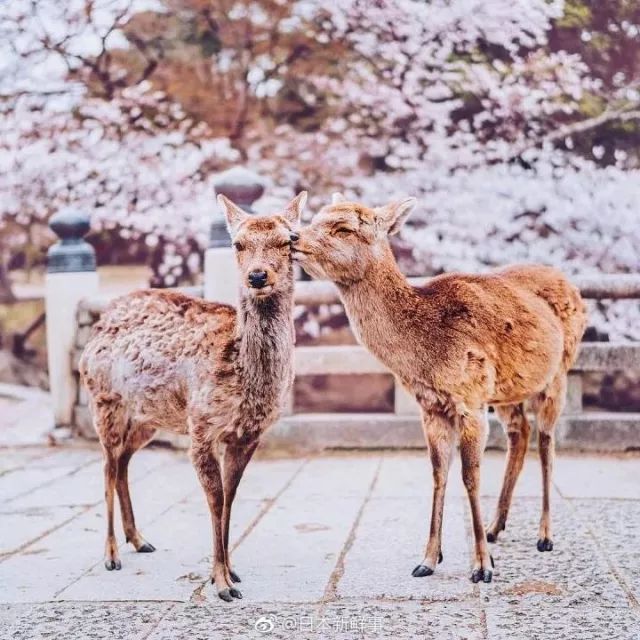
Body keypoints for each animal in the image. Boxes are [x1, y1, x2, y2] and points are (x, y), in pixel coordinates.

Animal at [79, 191, 306, 600]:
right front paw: (221, 583)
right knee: (106, 466)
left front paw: (233, 571)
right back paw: (111, 554)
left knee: (122, 463)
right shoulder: (202, 426)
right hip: (103, 402)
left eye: (289, 240)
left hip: (147, 418)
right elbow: (215, 500)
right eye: (237, 243)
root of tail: (101, 321)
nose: (257, 275)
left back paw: (140, 540)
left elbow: (231, 496)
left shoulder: (249, 434)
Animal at [292, 195, 588, 584]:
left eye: (344, 228)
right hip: (507, 390)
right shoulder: (431, 405)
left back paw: (545, 536)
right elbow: (437, 472)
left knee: (547, 442)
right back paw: (495, 527)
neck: (425, 354)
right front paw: (429, 559)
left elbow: (469, 475)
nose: (292, 236)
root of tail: (573, 286)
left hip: (558, 374)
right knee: (520, 434)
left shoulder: (470, 397)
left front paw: (483, 566)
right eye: (314, 218)